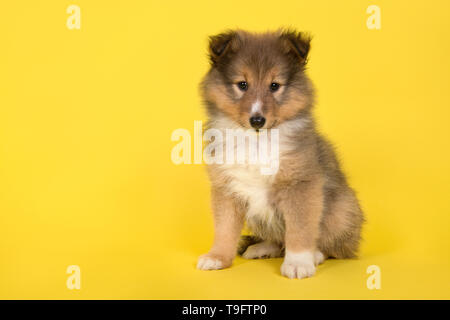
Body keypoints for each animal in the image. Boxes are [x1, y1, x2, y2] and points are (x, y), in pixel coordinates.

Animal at [197, 30, 366, 280]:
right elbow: (224, 228)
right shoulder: (226, 187)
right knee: (277, 239)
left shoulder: (300, 184)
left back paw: (316, 255)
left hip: (342, 209)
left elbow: (300, 228)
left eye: (275, 85)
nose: (257, 120)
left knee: (335, 245)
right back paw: (261, 248)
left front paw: (298, 263)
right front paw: (217, 257)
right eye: (242, 85)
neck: (256, 141)